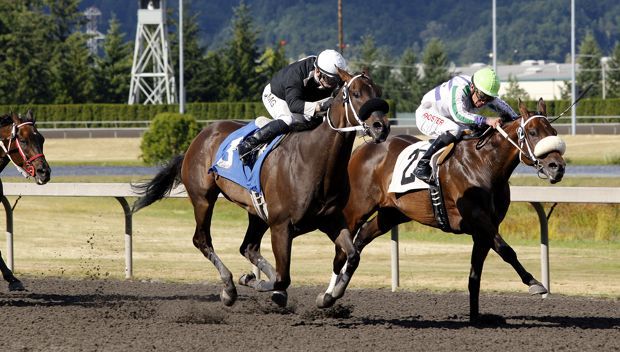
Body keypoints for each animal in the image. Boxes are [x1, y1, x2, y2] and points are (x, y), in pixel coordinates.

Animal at [133, 68, 390, 306]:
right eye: (356, 94)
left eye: (378, 92)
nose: (381, 127)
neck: (315, 161)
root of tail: (198, 138)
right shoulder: (281, 226)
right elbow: (283, 278)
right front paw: (254, 282)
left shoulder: (331, 220)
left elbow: (352, 255)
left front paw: (328, 296)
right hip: (203, 198)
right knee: (202, 240)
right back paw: (229, 288)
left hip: (255, 210)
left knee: (248, 247)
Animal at [330, 98, 568, 322]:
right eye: (532, 132)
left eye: (554, 132)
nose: (557, 167)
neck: (484, 164)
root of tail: (363, 148)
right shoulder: (479, 219)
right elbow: (506, 250)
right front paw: (535, 283)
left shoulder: (484, 230)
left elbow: (475, 276)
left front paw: (475, 318)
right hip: (357, 208)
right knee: (343, 247)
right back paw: (329, 295)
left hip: (391, 214)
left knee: (360, 239)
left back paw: (335, 291)